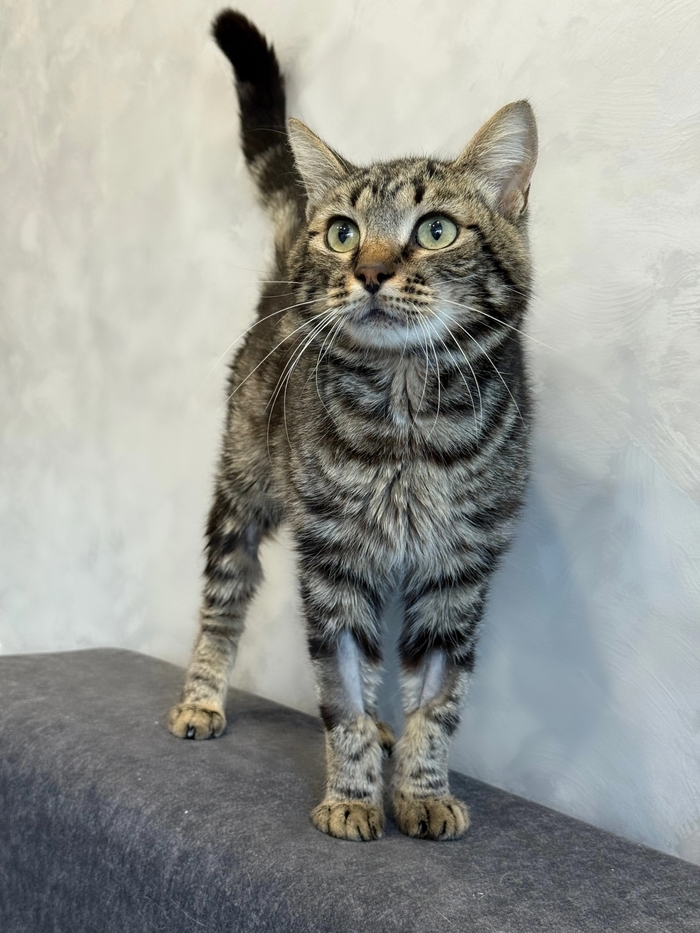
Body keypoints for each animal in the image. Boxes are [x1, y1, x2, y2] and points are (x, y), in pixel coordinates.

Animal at [169, 8, 537, 842]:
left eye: (436, 230)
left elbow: (437, 700)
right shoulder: (333, 562)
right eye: (342, 231)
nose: (366, 270)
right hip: (242, 486)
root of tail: (284, 271)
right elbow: (340, 692)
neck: (406, 418)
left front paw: (422, 790)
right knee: (223, 599)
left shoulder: (456, 570)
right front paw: (351, 797)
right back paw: (202, 698)